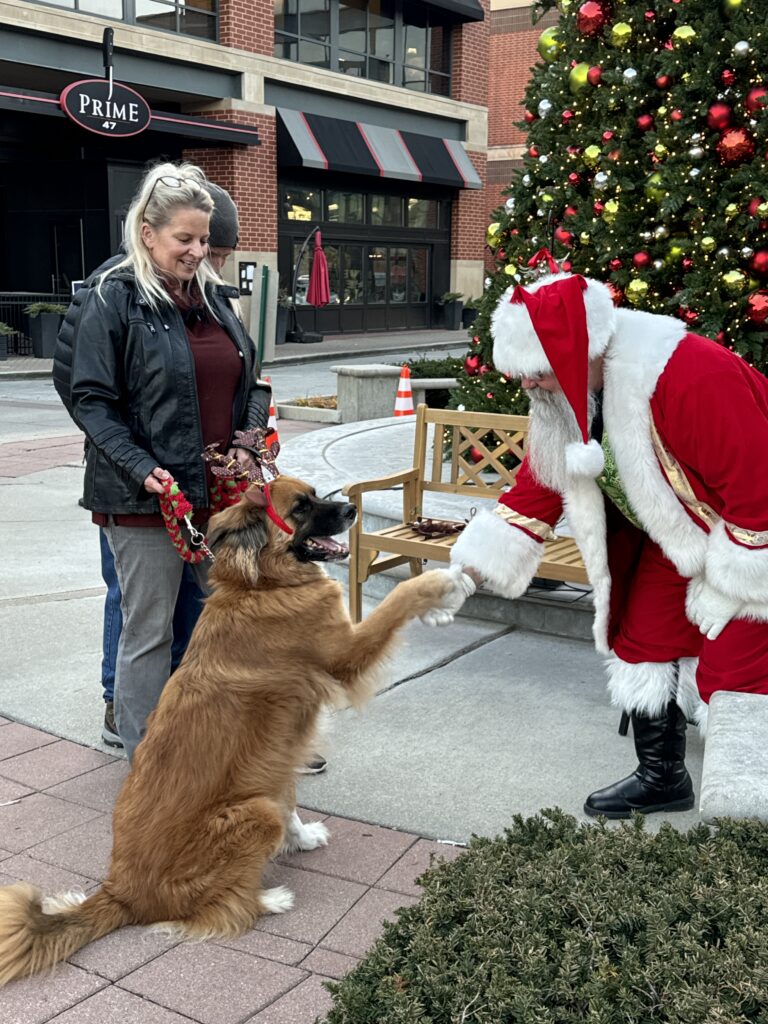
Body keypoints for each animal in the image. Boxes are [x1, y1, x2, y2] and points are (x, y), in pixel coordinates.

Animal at [0, 475, 460, 987]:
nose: (350, 510)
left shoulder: (277, 756)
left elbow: (290, 801)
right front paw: (440, 583)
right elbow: (399, 601)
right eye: (301, 508)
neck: (260, 585)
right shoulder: (346, 654)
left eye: (317, 494)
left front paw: (301, 839)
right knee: (221, 910)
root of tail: (122, 893)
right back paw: (267, 899)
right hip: (253, 814)